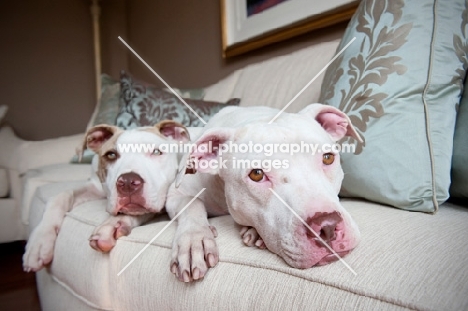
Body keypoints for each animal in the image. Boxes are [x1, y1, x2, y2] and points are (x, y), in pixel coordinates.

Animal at [22, 120, 190, 272]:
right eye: (111, 155)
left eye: (156, 152)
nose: (128, 182)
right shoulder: (94, 187)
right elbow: (61, 196)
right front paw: (39, 241)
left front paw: (113, 224)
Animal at [167, 104, 362, 282]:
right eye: (257, 174)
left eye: (328, 157)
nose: (327, 226)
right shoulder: (175, 194)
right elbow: (192, 202)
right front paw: (193, 241)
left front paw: (254, 233)